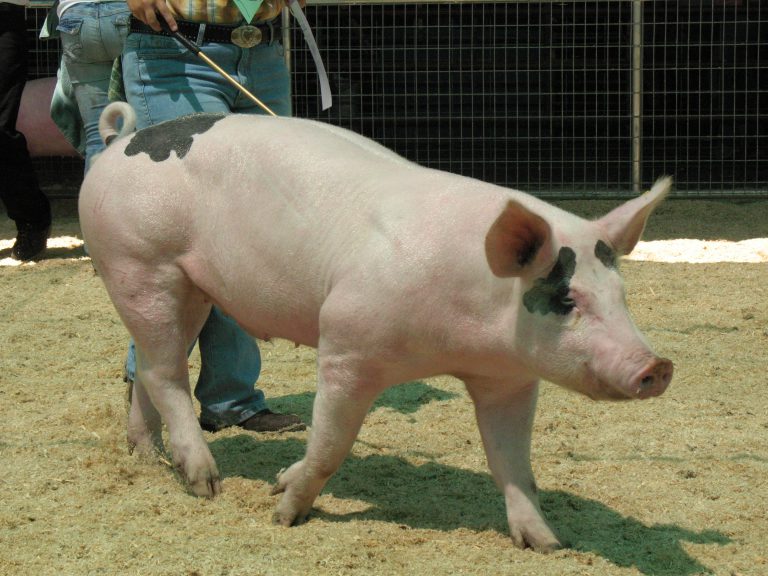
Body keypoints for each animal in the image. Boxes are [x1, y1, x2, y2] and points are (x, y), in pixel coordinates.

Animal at [79, 101, 673, 553]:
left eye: (621, 295)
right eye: (567, 298)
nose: (657, 366)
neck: (460, 335)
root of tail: (119, 141)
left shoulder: (508, 379)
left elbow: (513, 464)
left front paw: (548, 545)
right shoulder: (347, 343)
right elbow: (330, 444)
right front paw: (283, 511)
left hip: (189, 287)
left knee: (149, 368)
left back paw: (146, 458)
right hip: (139, 264)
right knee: (167, 373)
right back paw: (207, 485)